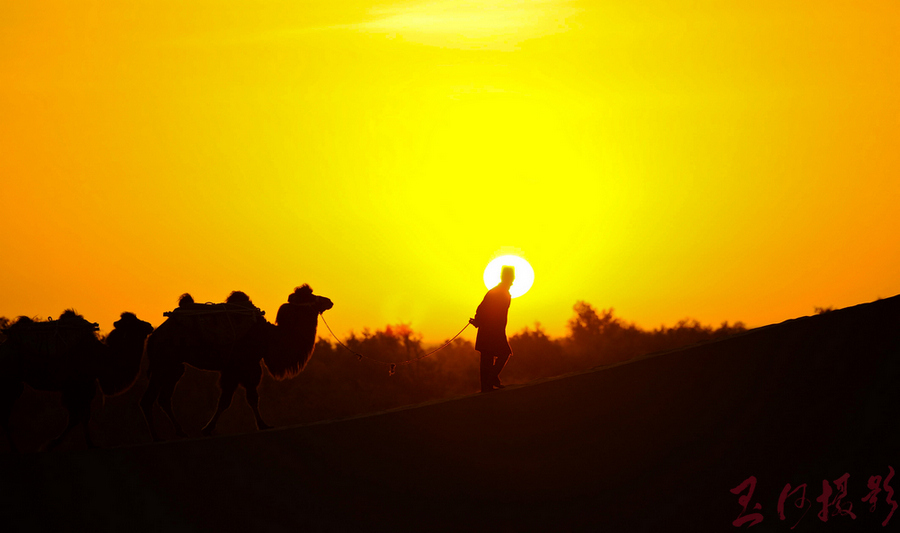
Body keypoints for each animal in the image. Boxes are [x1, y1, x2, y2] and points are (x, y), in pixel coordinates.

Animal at [0, 310, 155, 450]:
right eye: (133, 322)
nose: (149, 325)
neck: (102, 358)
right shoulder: (79, 386)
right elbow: (78, 417)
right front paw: (53, 444)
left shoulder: (84, 386)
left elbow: (80, 417)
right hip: (10, 381)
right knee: (5, 414)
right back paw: (15, 448)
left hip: (16, 384)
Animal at [142, 284, 332, 438]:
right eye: (310, 296)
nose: (329, 301)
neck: (268, 337)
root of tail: (154, 335)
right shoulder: (245, 365)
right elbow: (244, 398)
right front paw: (262, 425)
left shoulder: (236, 368)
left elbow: (231, 399)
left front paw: (208, 428)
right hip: (163, 361)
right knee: (150, 398)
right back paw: (156, 436)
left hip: (174, 366)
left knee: (163, 398)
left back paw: (180, 432)